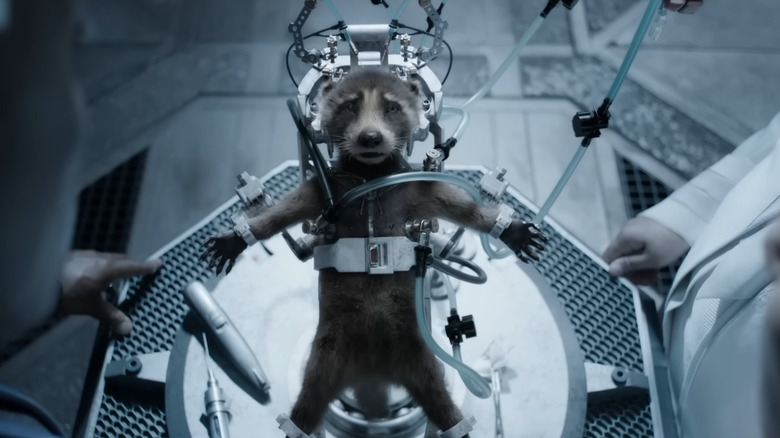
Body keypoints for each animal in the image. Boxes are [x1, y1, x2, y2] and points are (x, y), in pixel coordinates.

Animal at [201, 67, 546, 437]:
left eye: (391, 107)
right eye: (350, 106)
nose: (370, 137)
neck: (369, 179)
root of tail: (372, 372)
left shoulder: (416, 187)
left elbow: (462, 209)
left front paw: (510, 229)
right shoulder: (324, 189)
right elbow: (279, 216)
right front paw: (237, 238)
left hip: (416, 352)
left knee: (437, 397)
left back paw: (456, 425)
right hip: (328, 352)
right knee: (311, 398)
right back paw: (300, 422)